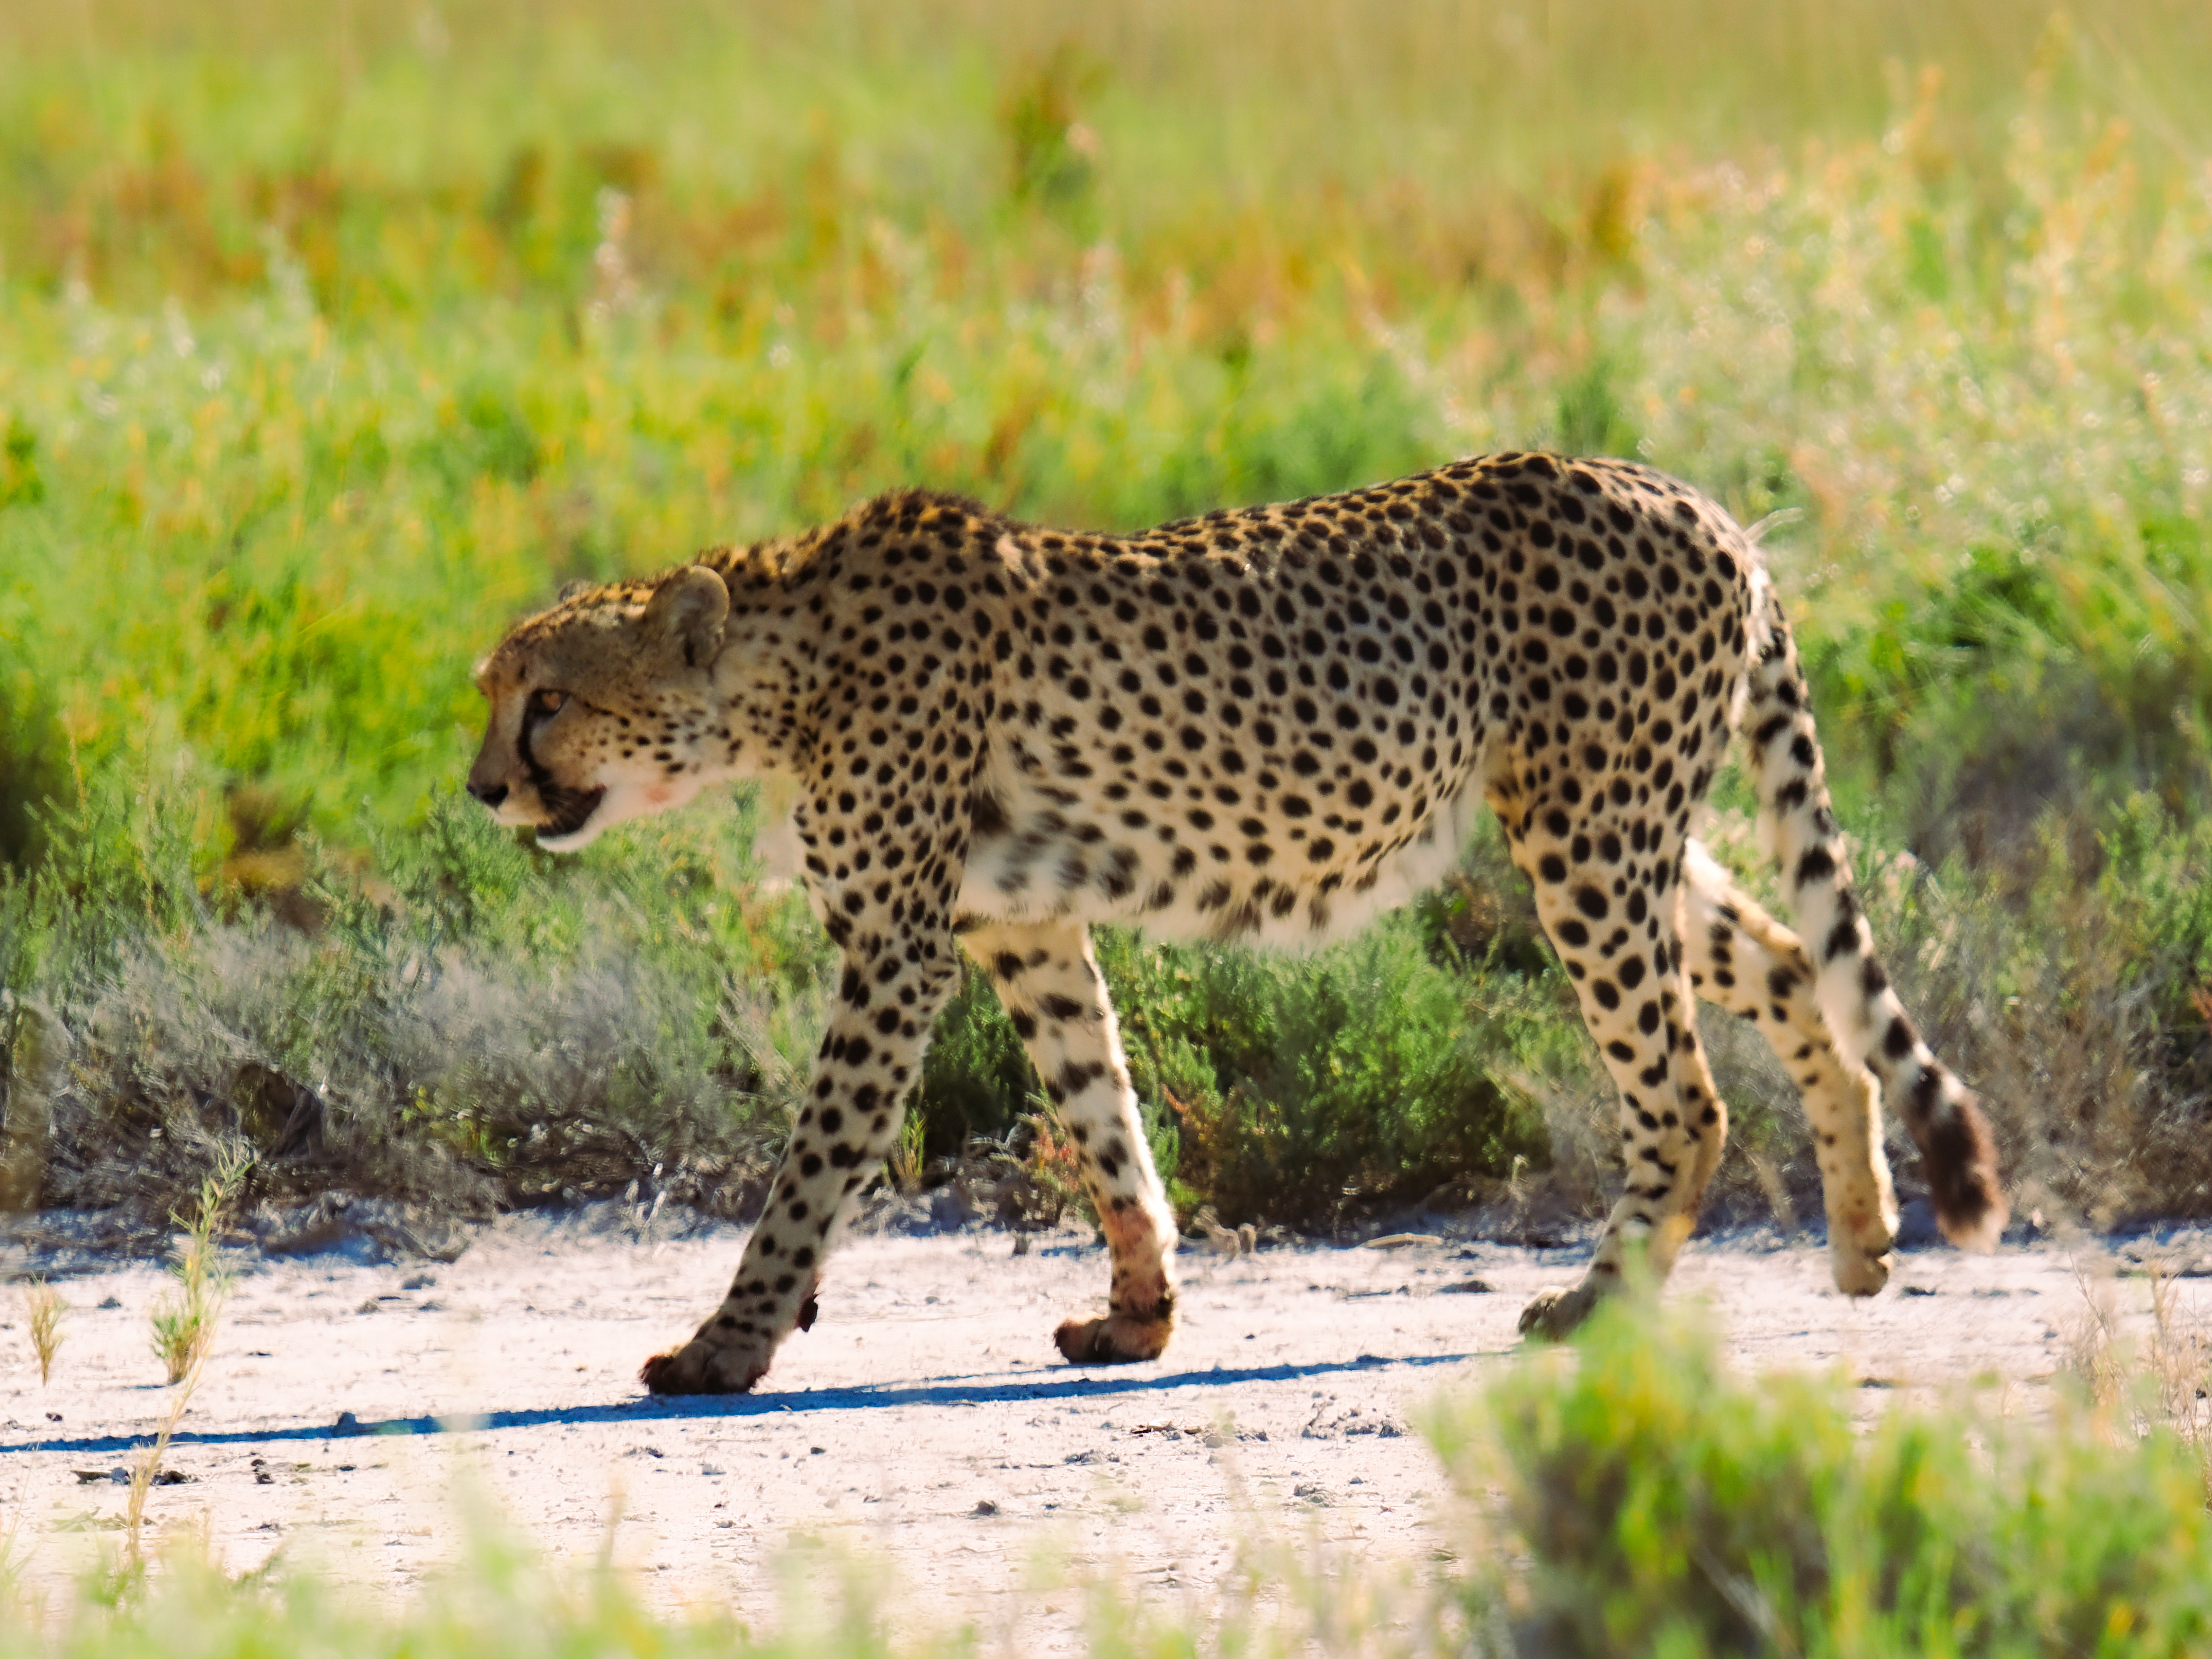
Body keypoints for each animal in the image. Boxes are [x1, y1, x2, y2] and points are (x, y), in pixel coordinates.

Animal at [465, 451, 2006, 1394]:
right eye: (497, 694)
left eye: (545, 698)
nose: (483, 788)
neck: (781, 668)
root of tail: (1693, 500)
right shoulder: (1021, 925)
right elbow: (1103, 1115)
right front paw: (1140, 1310)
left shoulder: (897, 950)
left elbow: (811, 1166)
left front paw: (723, 1344)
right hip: (1620, 832)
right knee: (1801, 964)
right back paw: (1861, 1236)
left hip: (1582, 838)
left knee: (1682, 1092)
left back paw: (1593, 1304)